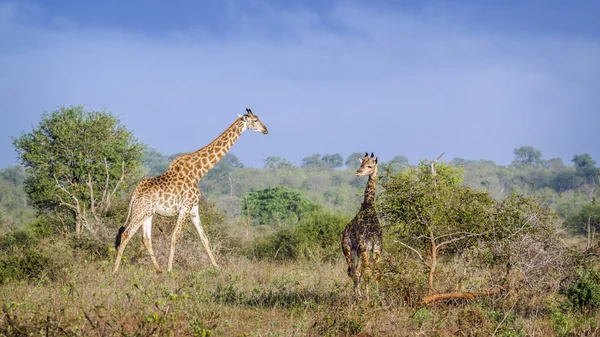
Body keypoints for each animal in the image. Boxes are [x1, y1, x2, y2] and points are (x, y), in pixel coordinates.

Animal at [113, 108, 268, 272]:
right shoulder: (185, 207)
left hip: (148, 213)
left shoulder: (194, 207)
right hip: (140, 212)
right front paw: (170, 269)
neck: (199, 172)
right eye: (255, 120)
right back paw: (115, 270)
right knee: (126, 234)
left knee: (146, 238)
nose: (266, 130)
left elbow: (204, 237)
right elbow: (175, 236)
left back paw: (158, 270)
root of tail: (135, 192)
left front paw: (217, 267)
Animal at [340, 152, 382, 296]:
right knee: (358, 271)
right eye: (362, 163)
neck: (368, 206)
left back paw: (360, 296)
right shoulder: (377, 248)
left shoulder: (367, 247)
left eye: (369, 166)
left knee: (356, 271)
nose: (358, 172)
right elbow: (374, 272)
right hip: (359, 250)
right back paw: (361, 295)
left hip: (353, 249)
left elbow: (369, 272)